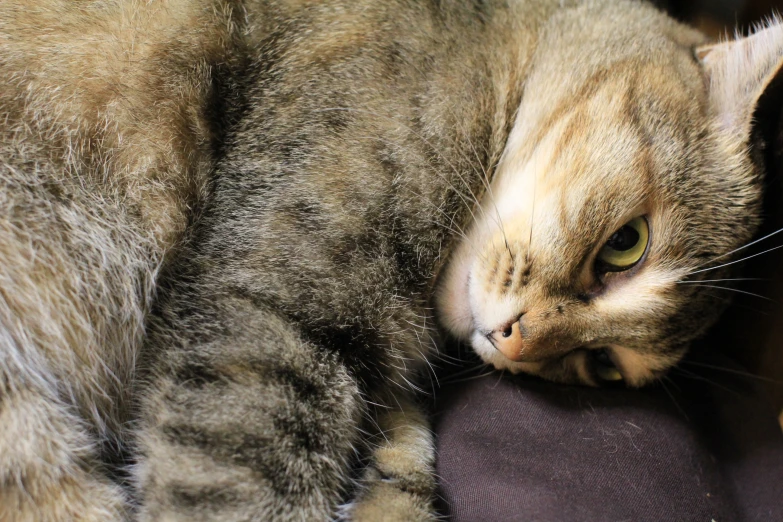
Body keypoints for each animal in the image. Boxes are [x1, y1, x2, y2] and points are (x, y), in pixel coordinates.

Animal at [0, 0, 780, 516]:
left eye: (602, 368)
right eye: (626, 244)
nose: (513, 341)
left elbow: (404, 462)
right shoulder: (269, 310)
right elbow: (243, 484)